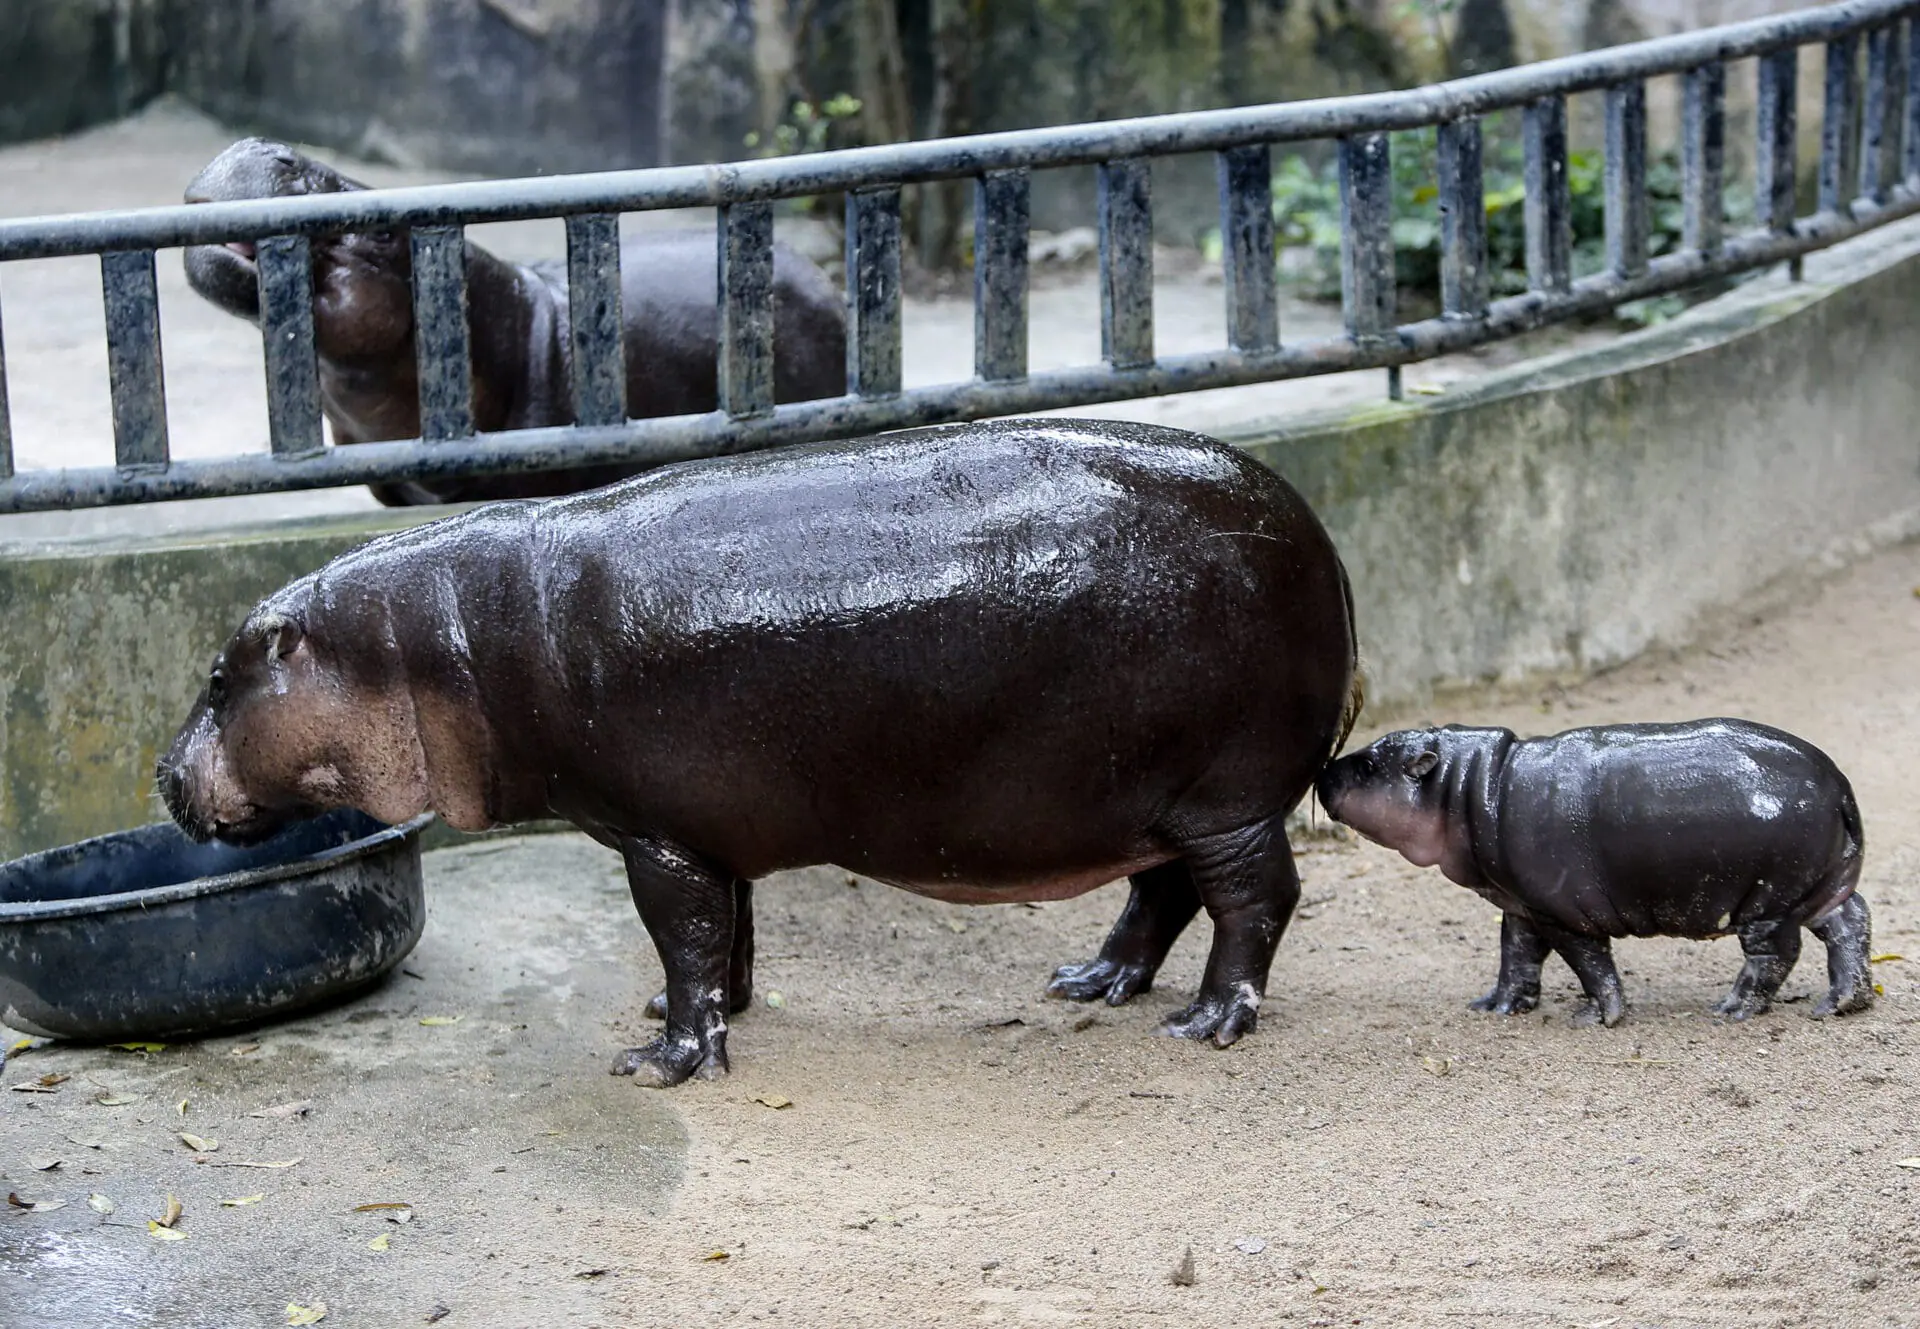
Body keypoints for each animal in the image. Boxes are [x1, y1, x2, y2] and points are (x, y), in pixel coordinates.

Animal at [161, 420, 1367, 1083]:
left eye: (219, 677)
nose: (162, 774)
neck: (436, 640)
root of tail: (1324, 540)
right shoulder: (708, 829)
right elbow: (725, 935)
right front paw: (695, 1018)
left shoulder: (656, 835)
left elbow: (681, 936)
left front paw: (661, 1062)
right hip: (1151, 800)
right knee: (1162, 896)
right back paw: (1093, 982)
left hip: (1227, 795)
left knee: (1256, 900)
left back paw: (1206, 1023)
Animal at [1313, 722, 1866, 1021]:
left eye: (1369, 766)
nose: (1322, 770)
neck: (1468, 787)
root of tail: (1838, 784)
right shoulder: (1521, 908)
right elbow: (1516, 958)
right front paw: (1495, 1006)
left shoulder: (1564, 913)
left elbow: (1590, 965)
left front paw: (1599, 1017)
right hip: (1821, 888)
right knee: (1850, 926)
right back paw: (1841, 1004)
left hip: (1767, 901)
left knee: (1776, 954)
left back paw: (1730, 1010)